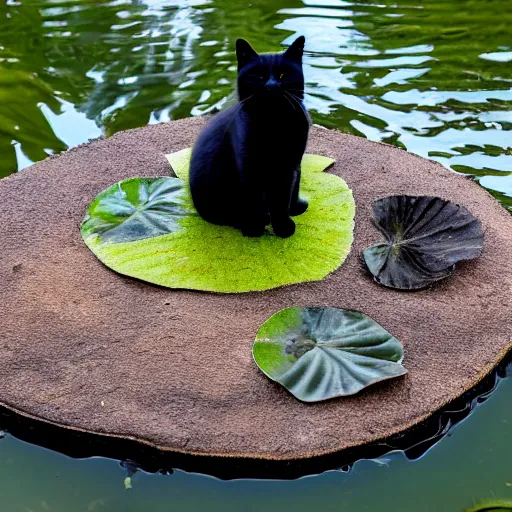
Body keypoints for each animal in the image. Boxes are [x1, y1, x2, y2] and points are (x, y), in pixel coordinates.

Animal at [187, 36, 308, 238]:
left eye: (283, 75)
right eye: (258, 76)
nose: (271, 85)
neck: (274, 124)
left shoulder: (289, 166)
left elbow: (283, 198)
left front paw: (283, 225)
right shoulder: (249, 167)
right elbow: (255, 200)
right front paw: (255, 227)